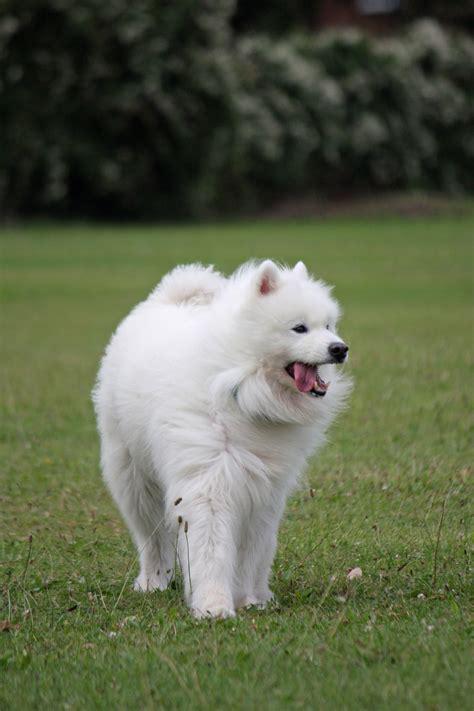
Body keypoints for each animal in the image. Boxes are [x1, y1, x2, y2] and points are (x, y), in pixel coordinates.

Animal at [93, 260, 352, 616]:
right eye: (299, 328)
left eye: (328, 325)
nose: (340, 348)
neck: (240, 388)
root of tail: (165, 299)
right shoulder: (209, 485)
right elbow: (210, 551)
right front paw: (213, 605)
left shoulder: (262, 494)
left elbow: (251, 554)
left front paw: (250, 599)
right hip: (134, 479)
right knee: (152, 538)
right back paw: (153, 582)